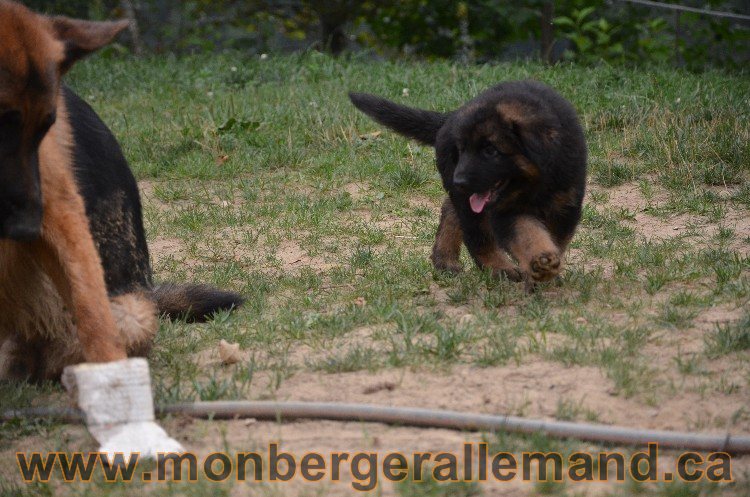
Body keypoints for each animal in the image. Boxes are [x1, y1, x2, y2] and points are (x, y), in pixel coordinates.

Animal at [350, 81, 592, 282]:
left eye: (490, 151)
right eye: (462, 150)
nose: (459, 181)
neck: (534, 184)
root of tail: (451, 117)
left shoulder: (565, 206)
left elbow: (554, 238)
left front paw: (546, 269)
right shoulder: (506, 212)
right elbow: (527, 234)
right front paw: (539, 262)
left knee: (450, 209)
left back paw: (445, 260)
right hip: (465, 196)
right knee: (476, 234)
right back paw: (498, 268)